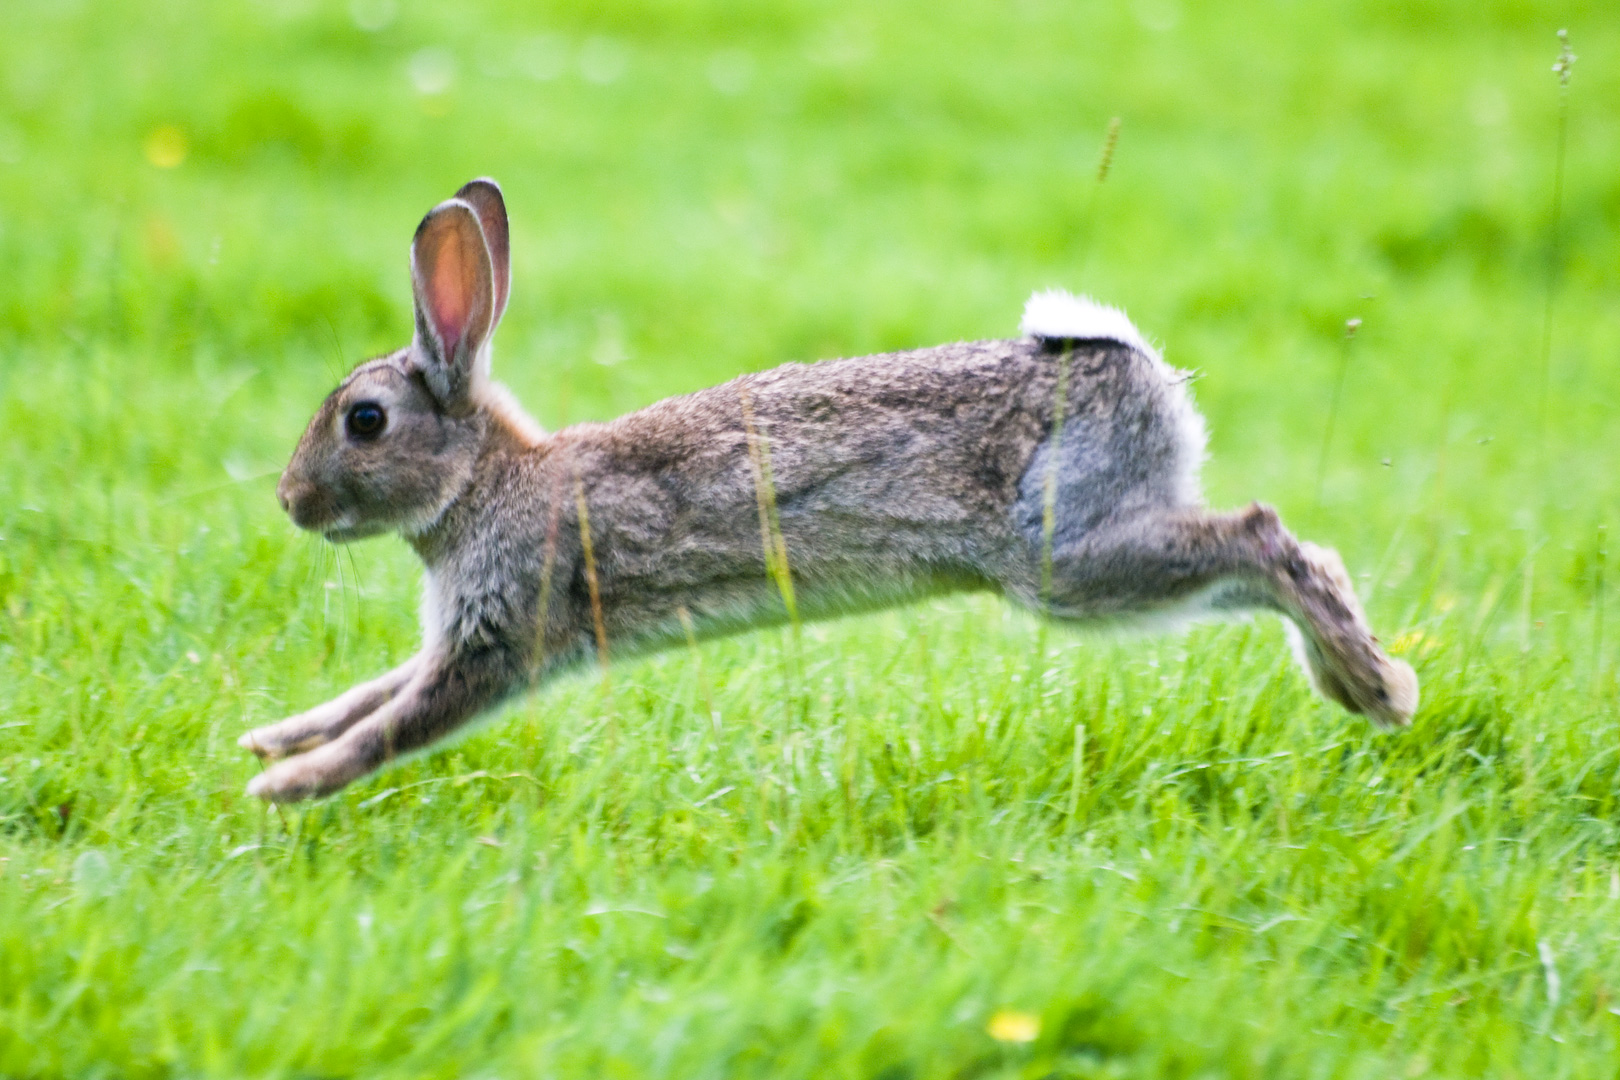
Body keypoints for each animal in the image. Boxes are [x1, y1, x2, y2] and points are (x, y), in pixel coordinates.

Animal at [240, 178, 1418, 802]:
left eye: (363, 421)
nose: (291, 502)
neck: (485, 481)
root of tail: (1142, 372)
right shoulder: (457, 635)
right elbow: (372, 692)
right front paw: (270, 740)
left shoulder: (503, 637)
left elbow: (398, 723)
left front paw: (280, 789)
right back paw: (1358, 683)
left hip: (1068, 559)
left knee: (1270, 539)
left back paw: (1380, 689)